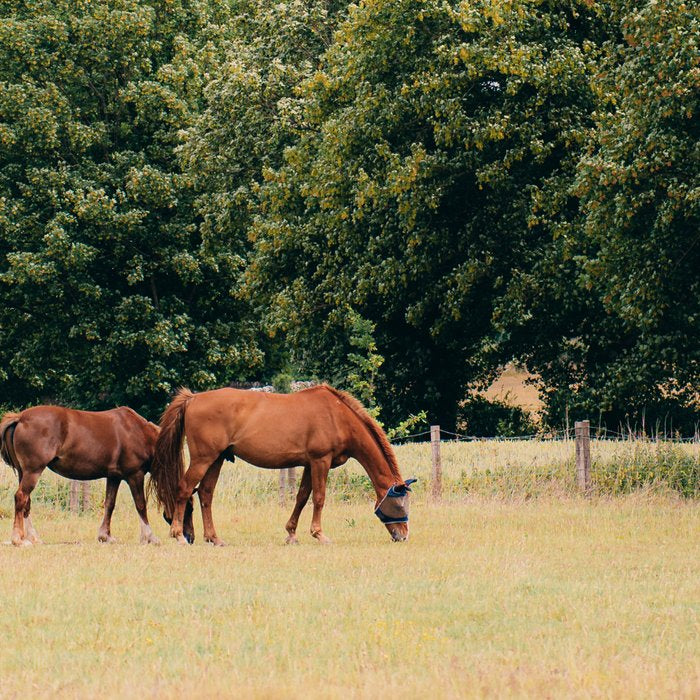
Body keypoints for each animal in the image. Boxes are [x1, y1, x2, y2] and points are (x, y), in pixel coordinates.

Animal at [0, 405, 186, 546]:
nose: (185, 537)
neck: (137, 432)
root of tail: (20, 418)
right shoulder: (135, 475)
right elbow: (141, 505)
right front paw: (150, 537)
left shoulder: (114, 477)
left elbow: (109, 504)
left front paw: (106, 536)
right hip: (33, 471)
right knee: (21, 497)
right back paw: (18, 539)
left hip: (24, 473)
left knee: (26, 502)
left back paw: (32, 537)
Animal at [149, 384, 416, 545]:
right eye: (399, 505)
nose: (403, 536)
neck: (337, 416)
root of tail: (193, 398)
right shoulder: (320, 461)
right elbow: (319, 498)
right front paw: (319, 534)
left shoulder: (309, 464)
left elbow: (302, 496)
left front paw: (291, 533)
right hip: (203, 459)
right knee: (184, 490)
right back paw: (178, 535)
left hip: (216, 460)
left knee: (205, 494)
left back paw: (214, 538)